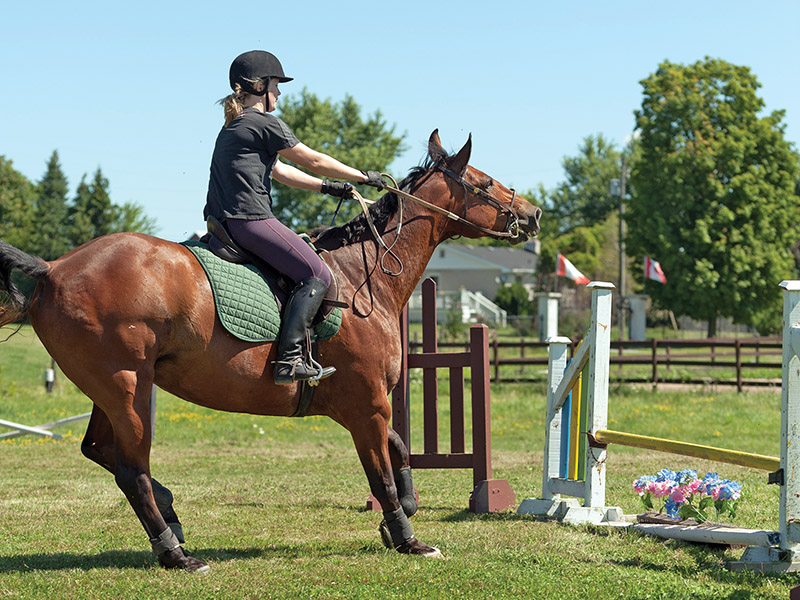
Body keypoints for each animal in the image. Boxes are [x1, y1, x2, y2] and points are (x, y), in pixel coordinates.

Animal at [0, 130, 541, 572]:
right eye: (486, 183)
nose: (533, 214)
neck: (363, 277)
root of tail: (54, 268)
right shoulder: (366, 405)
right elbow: (382, 473)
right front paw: (408, 538)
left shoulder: (360, 406)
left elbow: (400, 450)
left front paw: (401, 516)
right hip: (128, 388)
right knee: (132, 470)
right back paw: (176, 553)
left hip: (110, 391)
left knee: (100, 450)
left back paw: (172, 516)